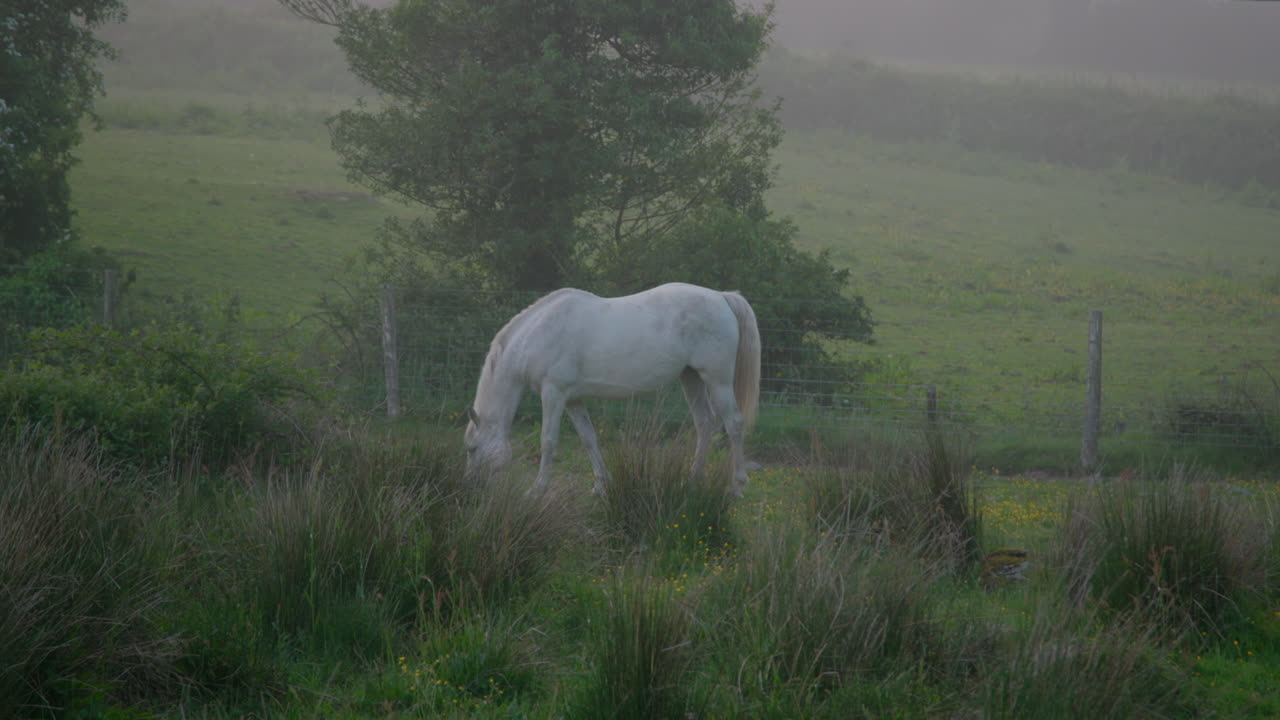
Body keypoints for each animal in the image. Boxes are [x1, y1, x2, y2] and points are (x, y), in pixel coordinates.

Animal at [464, 282, 761, 497]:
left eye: (473, 449)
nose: (472, 486)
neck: (538, 335)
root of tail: (721, 297)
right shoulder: (573, 400)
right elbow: (588, 438)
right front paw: (600, 485)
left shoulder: (553, 394)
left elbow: (548, 441)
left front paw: (536, 490)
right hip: (692, 379)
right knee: (704, 423)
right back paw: (693, 478)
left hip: (717, 380)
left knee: (733, 424)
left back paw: (737, 486)